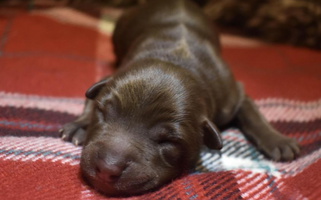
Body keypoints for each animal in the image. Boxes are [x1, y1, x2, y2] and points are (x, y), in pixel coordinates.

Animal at [59, 0, 298, 197]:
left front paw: (278, 140)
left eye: (168, 141)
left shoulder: (232, 94)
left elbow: (253, 114)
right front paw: (80, 125)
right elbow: (91, 96)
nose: (107, 168)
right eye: (103, 113)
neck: (177, 60)